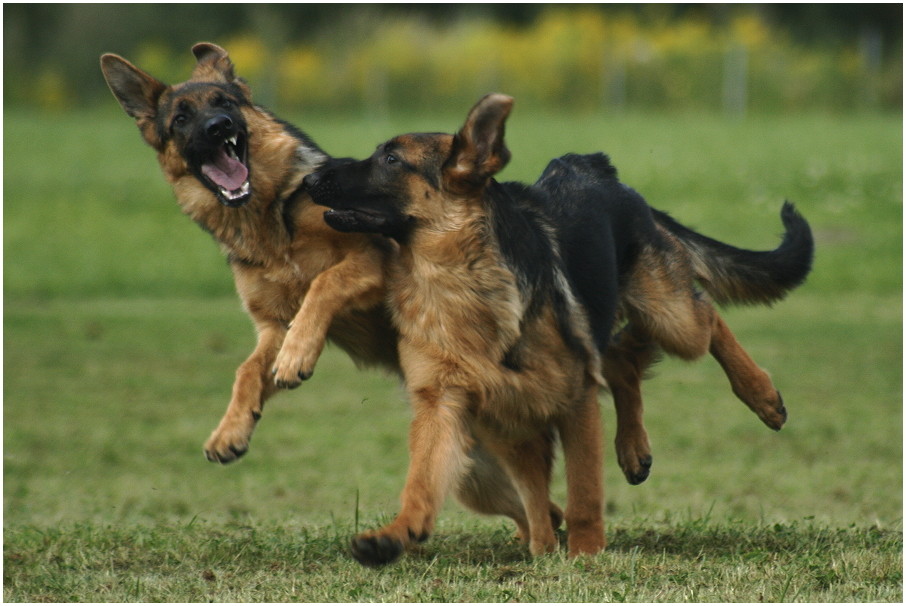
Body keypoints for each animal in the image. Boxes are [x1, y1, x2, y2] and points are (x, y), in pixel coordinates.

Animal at [308, 94, 816, 564]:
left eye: (391, 160)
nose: (311, 179)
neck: (451, 280)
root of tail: (589, 165)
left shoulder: (573, 403)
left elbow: (583, 492)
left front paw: (586, 554)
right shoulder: (467, 411)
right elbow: (436, 485)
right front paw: (399, 535)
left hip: (669, 315)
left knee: (705, 316)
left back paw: (761, 396)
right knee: (621, 355)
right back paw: (632, 446)